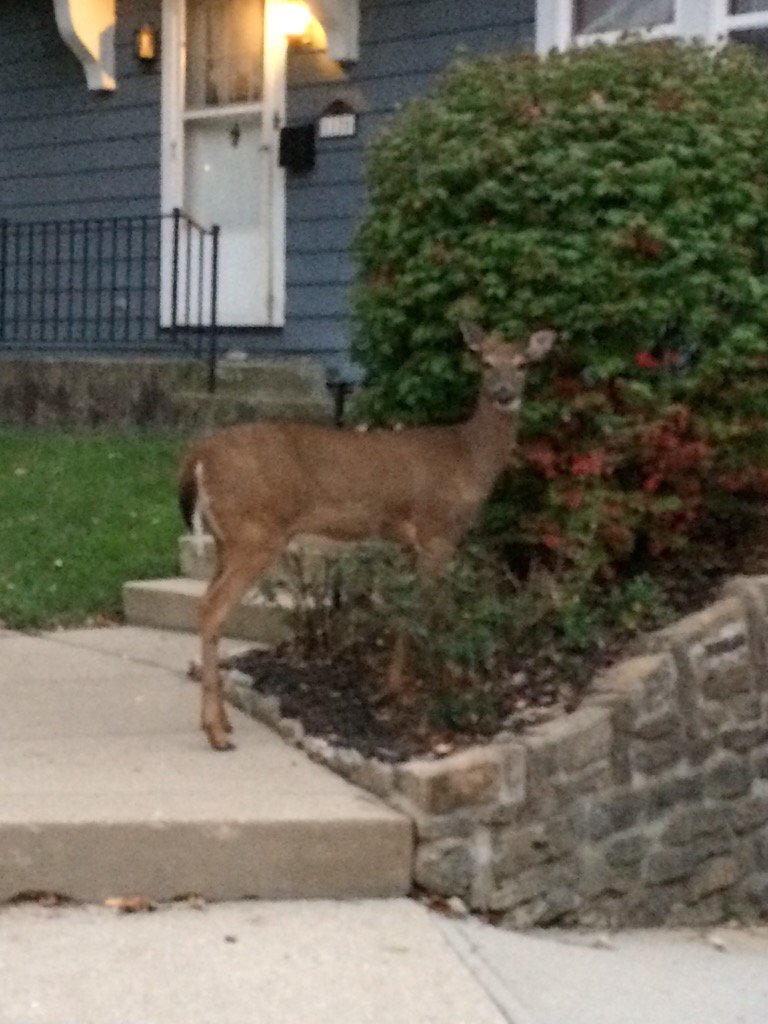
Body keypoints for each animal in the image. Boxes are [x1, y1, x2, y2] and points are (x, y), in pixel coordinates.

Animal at [178, 322, 556, 750]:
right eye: (486, 361)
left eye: (523, 363)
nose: (504, 393)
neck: (469, 460)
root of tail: (198, 456)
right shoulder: (437, 532)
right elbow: (436, 611)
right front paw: (450, 687)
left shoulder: (410, 543)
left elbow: (406, 612)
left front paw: (394, 688)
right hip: (255, 533)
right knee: (213, 608)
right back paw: (215, 732)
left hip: (225, 539)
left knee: (207, 601)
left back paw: (222, 723)